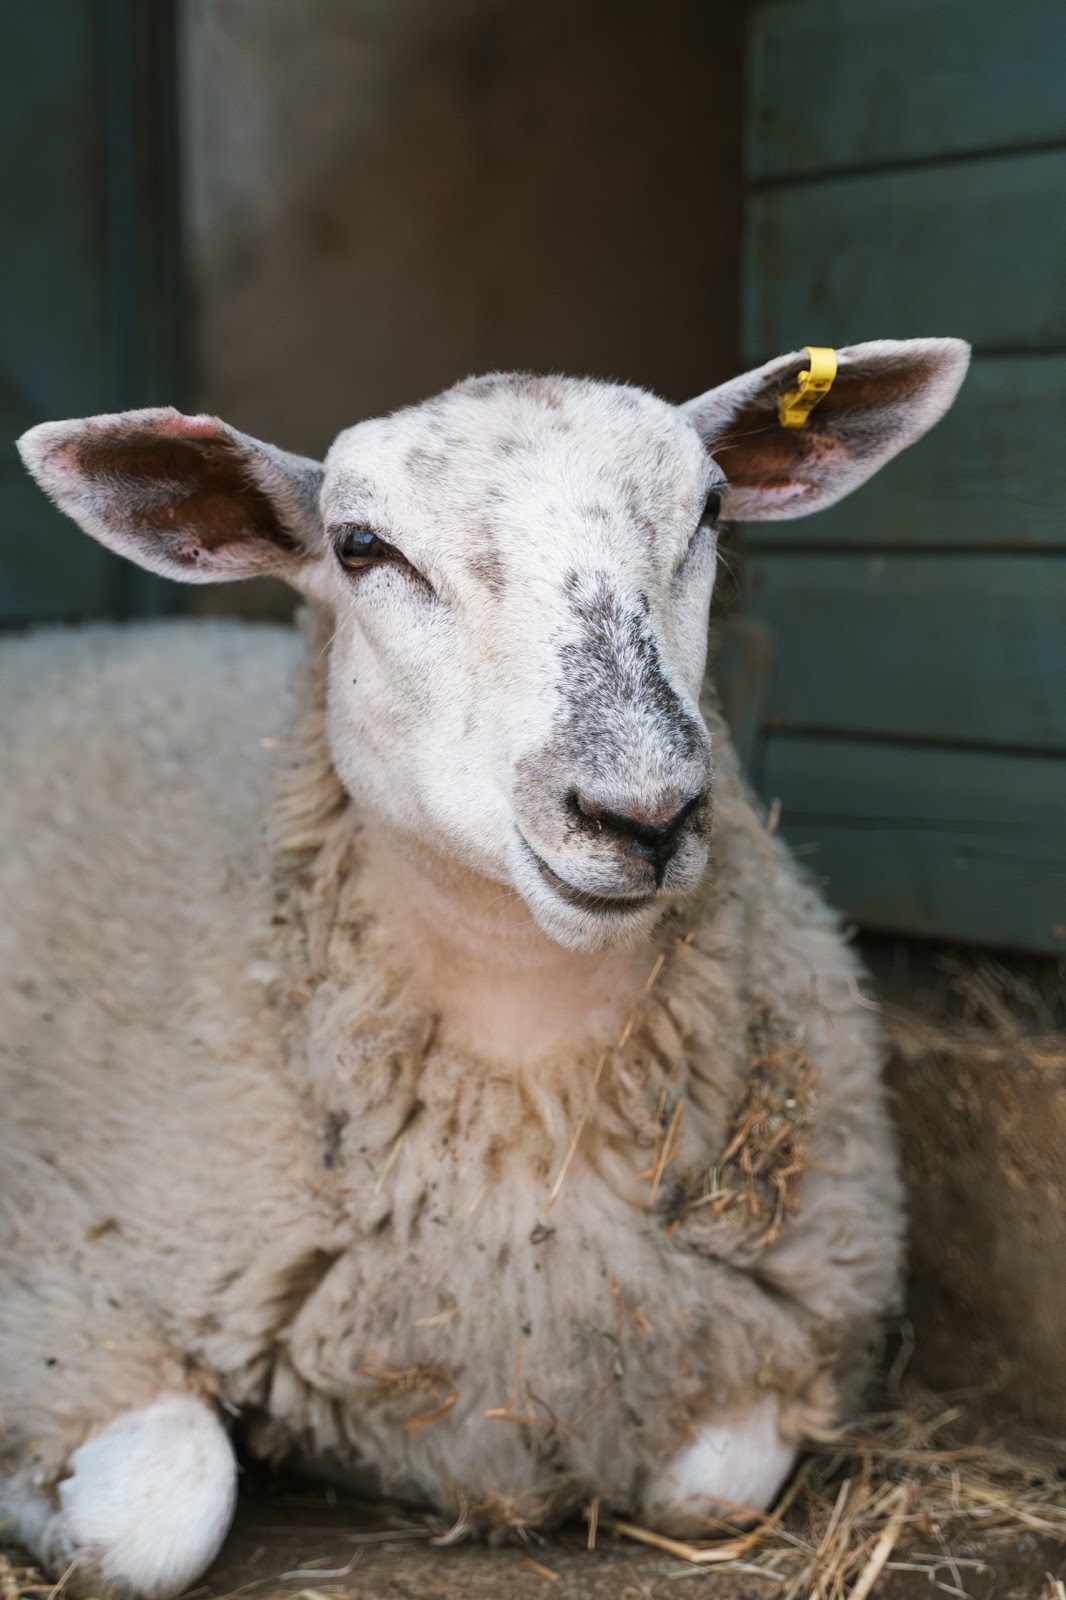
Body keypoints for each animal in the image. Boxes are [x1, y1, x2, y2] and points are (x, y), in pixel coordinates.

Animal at [1, 339, 969, 1598]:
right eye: (361, 546)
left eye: (710, 510)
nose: (643, 812)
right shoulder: (66, 1294)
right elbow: (157, 1516)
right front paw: (39, 1500)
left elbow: (715, 1483)